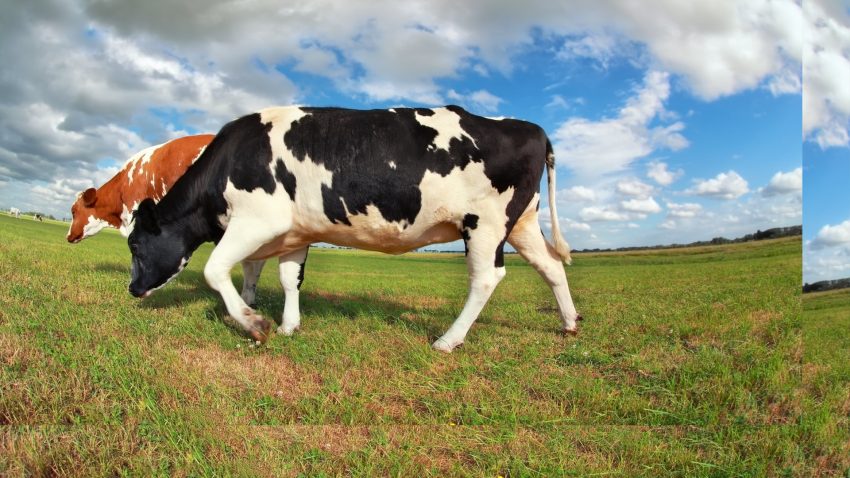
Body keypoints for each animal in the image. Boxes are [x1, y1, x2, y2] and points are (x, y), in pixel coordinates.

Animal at [127, 105, 581, 352]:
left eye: (135, 244)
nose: (132, 290)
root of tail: (530, 127)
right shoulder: (294, 233)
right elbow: (288, 278)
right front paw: (289, 325)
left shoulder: (259, 220)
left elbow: (214, 270)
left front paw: (254, 323)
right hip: (521, 222)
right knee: (551, 266)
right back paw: (569, 323)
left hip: (485, 223)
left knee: (486, 278)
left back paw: (448, 340)